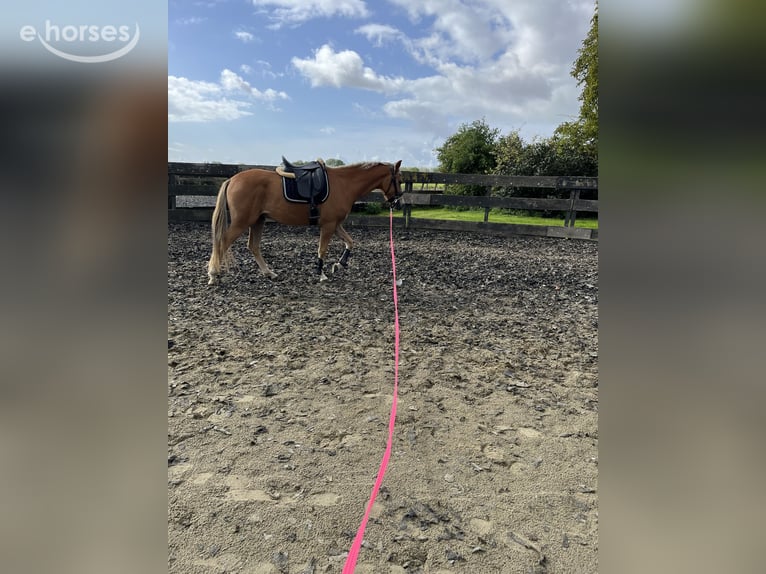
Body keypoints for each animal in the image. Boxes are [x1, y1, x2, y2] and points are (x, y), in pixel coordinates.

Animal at [207, 160, 403, 285]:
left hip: (257, 221)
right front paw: (321, 274)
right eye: (399, 179)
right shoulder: (328, 225)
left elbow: (350, 242)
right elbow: (322, 249)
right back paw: (213, 274)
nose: (399, 203)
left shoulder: (336, 224)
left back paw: (269, 273)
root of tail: (232, 179)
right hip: (242, 222)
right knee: (223, 242)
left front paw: (339, 264)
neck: (344, 183)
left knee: (253, 246)